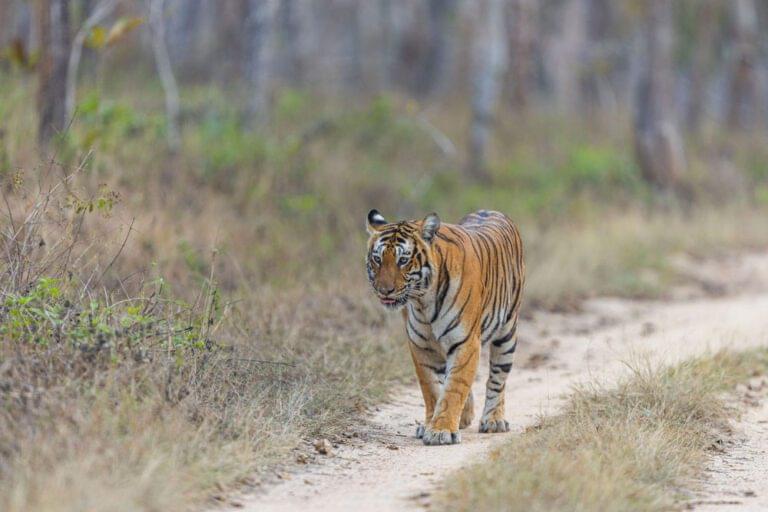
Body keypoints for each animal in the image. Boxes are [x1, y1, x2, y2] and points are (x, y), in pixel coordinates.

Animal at [365, 209, 524, 446]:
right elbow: (432, 388)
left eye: (403, 260)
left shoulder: (466, 343)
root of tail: (491, 211)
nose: (384, 290)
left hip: (506, 334)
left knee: (497, 380)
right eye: (377, 259)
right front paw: (431, 424)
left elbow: (454, 387)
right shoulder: (421, 346)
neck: (423, 302)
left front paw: (441, 431)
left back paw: (493, 420)